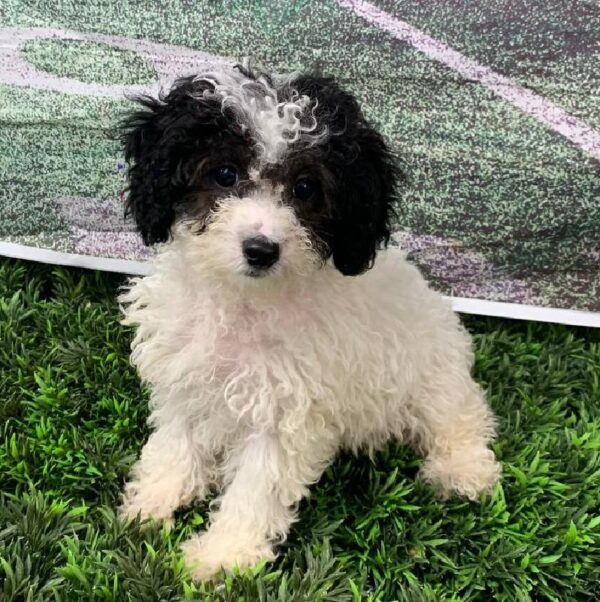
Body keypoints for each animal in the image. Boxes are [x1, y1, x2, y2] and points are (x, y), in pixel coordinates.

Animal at [117, 63, 502, 580]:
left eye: (304, 189)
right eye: (224, 174)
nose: (261, 249)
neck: (247, 300)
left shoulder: (285, 410)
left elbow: (256, 486)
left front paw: (223, 556)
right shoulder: (188, 375)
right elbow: (176, 441)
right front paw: (154, 500)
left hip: (432, 373)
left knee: (461, 416)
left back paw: (463, 471)